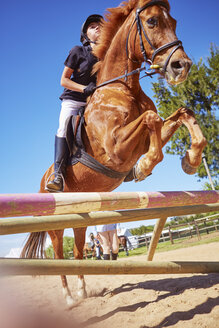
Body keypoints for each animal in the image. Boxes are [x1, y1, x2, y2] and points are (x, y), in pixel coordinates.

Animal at [19, 0, 206, 308]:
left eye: (175, 22)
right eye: (152, 22)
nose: (182, 66)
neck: (122, 87)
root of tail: (41, 183)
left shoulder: (144, 136)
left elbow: (181, 114)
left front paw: (190, 160)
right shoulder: (117, 149)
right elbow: (152, 119)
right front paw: (143, 167)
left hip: (80, 218)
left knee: (78, 251)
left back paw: (83, 291)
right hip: (56, 224)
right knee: (59, 254)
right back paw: (69, 298)